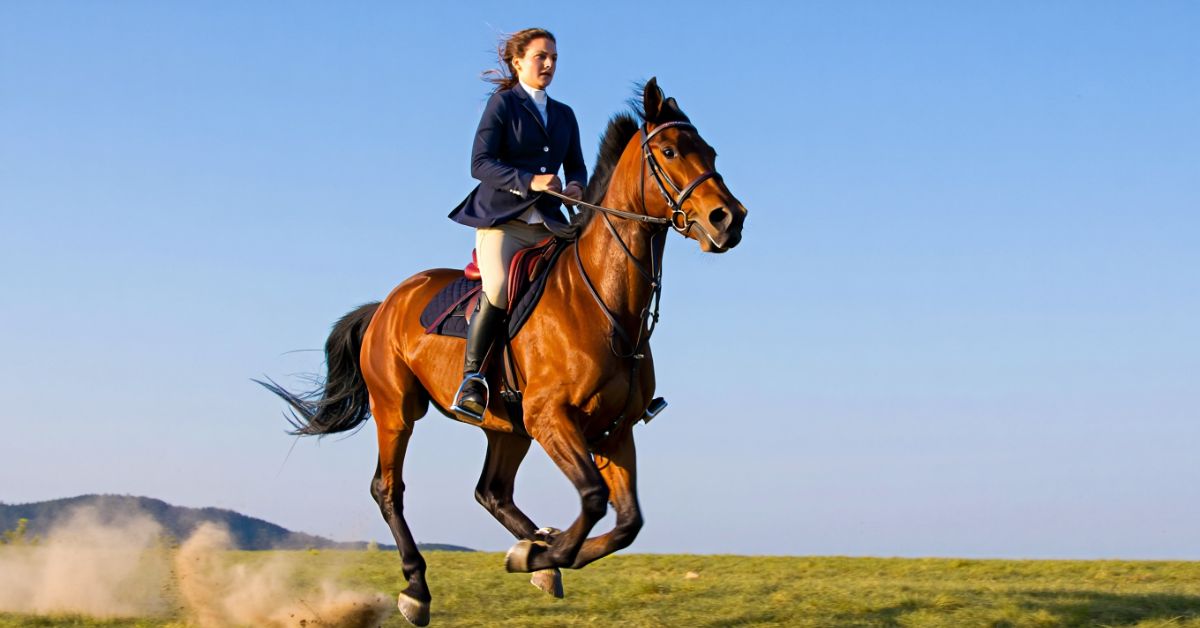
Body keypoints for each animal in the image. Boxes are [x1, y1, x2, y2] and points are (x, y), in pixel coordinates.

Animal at [261, 78, 746, 626]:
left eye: (710, 152)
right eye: (669, 152)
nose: (729, 219)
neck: (606, 305)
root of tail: (386, 302)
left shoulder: (614, 431)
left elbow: (627, 523)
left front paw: (542, 553)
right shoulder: (551, 417)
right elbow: (594, 499)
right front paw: (545, 552)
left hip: (506, 427)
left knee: (491, 491)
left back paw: (535, 552)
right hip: (397, 409)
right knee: (388, 489)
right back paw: (420, 587)